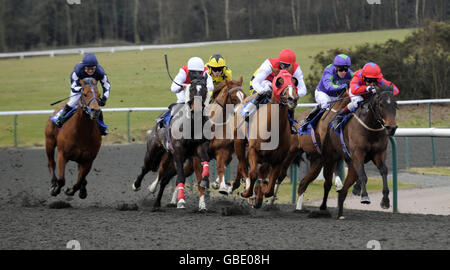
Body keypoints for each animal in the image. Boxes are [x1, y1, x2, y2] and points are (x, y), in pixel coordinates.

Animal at [232, 70, 298, 209]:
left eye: (295, 81)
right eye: (279, 82)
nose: (292, 99)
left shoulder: (278, 159)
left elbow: (270, 188)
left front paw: (261, 191)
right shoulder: (253, 150)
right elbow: (253, 174)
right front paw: (249, 193)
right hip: (239, 142)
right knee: (243, 166)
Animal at [322, 84, 400, 219]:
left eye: (395, 104)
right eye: (381, 104)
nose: (391, 128)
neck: (371, 127)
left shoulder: (378, 153)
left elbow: (384, 171)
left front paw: (385, 201)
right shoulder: (358, 153)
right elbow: (363, 175)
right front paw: (364, 196)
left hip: (350, 162)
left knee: (344, 190)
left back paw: (340, 213)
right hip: (331, 156)